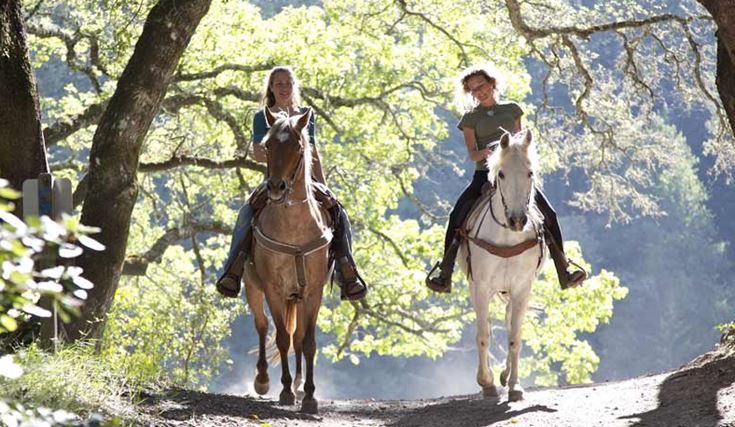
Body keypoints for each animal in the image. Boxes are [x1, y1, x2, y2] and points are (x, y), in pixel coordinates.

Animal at [242, 107, 333, 414]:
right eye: (268, 145)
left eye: (297, 146)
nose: (276, 187)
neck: (294, 230)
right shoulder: (274, 289)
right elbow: (281, 338)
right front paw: (284, 392)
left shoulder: (313, 292)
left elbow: (308, 342)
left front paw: (309, 396)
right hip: (253, 287)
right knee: (261, 325)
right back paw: (262, 380)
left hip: (298, 297)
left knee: (298, 338)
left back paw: (299, 383)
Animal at [457, 129, 547, 402]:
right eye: (502, 174)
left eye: (530, 172)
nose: (517, 220)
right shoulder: (480, 286)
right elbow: (483, 335)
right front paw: (486, 383)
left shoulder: (522, 288)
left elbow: (514, 337)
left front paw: (515, 386)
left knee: (508, 324)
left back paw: (506, 376)